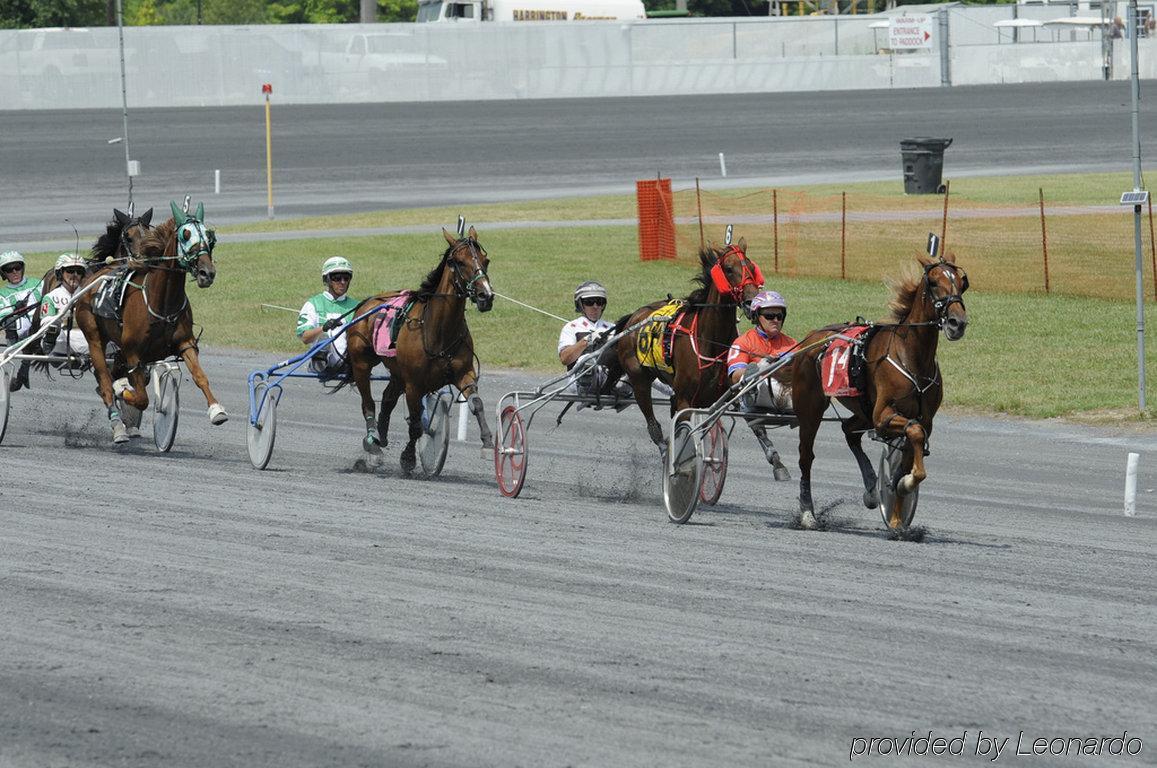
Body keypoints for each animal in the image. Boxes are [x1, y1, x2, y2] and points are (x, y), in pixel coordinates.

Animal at [72, 201, 227, 444]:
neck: (161, 302)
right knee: (105, 382)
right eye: (185, 235)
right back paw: (118, 425)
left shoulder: (185, 343)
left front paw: (216, 410)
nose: (206, 273)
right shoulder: (134, 354)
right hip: (95, 339)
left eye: (209, 236)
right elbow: (141, 399)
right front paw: (123, 391)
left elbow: (200, 376)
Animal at [340, 225, 490, 471]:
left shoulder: (464, 373)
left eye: (486, 260)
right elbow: (416, 425)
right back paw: (373, 444)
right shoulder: (414, 385)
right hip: (362, 363)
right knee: (368, 403)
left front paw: (487, 441)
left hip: (397, 371)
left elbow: (476, 403)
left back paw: (381, 435)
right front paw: (408, 457)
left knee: (388, 398)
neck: (438, 329)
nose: (485, 295)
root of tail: (367, 303)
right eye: (459, 262)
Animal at [597, 240, 768, 451]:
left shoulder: (730, 392)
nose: (753, 302)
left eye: (752, 267)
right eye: (728, 269)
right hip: (639, 380)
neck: (708, 340)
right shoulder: (685, 401)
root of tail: (635, 316)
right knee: (653, 426)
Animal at [796, 252, 967, 527]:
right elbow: (914, 433)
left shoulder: (922, 418)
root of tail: (811, 338)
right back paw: (807, 512)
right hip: (811, 409)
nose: (956, 323)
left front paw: (899, 489)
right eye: (932, 282)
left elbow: (914, 442)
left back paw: (870, 490)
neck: (912, 356)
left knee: (849, 430)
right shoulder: (883, 415)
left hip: (862, 410)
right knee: (805, 457)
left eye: (962, 283)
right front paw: (903, 483)